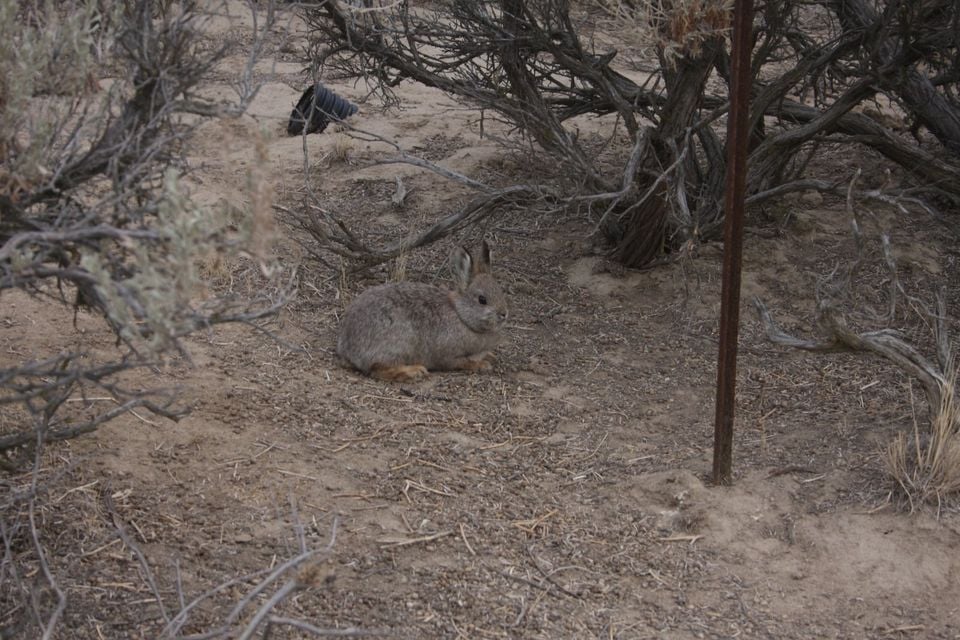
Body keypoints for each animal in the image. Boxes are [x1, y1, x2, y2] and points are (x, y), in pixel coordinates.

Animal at [337, 240, 508, 381]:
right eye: (482, 300)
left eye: (501, 292)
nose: (504, 314)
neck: (461, 316)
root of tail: (348, 347)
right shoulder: (448, 355)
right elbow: (462, 362)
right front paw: (482, 364)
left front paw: (491, 356)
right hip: (400, 342)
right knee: (377, 369)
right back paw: (414, 371)